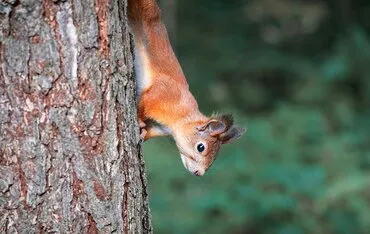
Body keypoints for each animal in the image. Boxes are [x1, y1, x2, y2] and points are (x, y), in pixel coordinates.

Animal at [127, 0, 246, 176]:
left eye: (215, 157)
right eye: (201, 147)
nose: (199, 173)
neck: (182, 117)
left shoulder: (159, 127)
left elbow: (149, 130)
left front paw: (143, 132)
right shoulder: (161, 96)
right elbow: (145, 101)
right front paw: (139, 120)